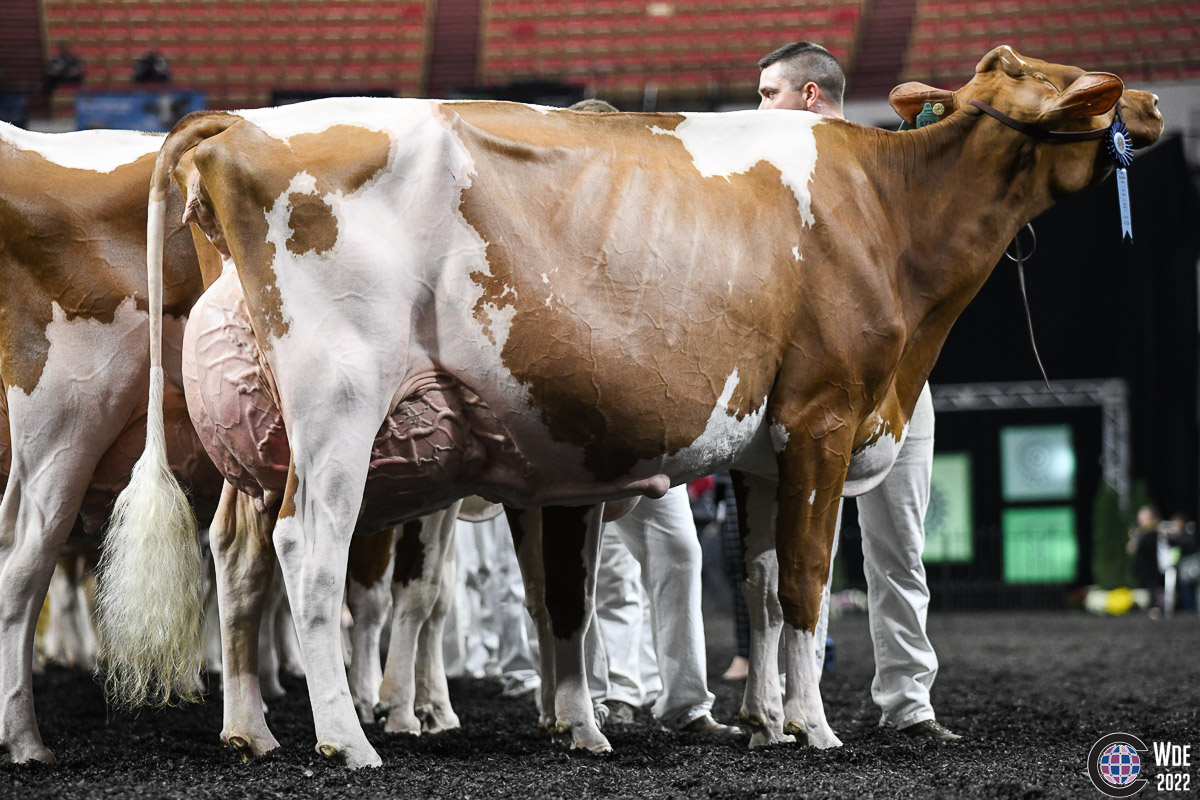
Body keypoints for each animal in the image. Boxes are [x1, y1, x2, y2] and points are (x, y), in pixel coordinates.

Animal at [97, 47, 1162, 768]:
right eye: (1065, 80)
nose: (1152, 102)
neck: (888, 213)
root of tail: (239, 123)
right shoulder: (823, 419)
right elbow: (810, 584)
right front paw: (815, 728)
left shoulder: (767, 448)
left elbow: (760, 589)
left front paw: (765, 723)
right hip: (338, 406)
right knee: (307, 556)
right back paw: (346, 738)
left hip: (265, 433)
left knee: (241, 557)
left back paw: (252, 730)